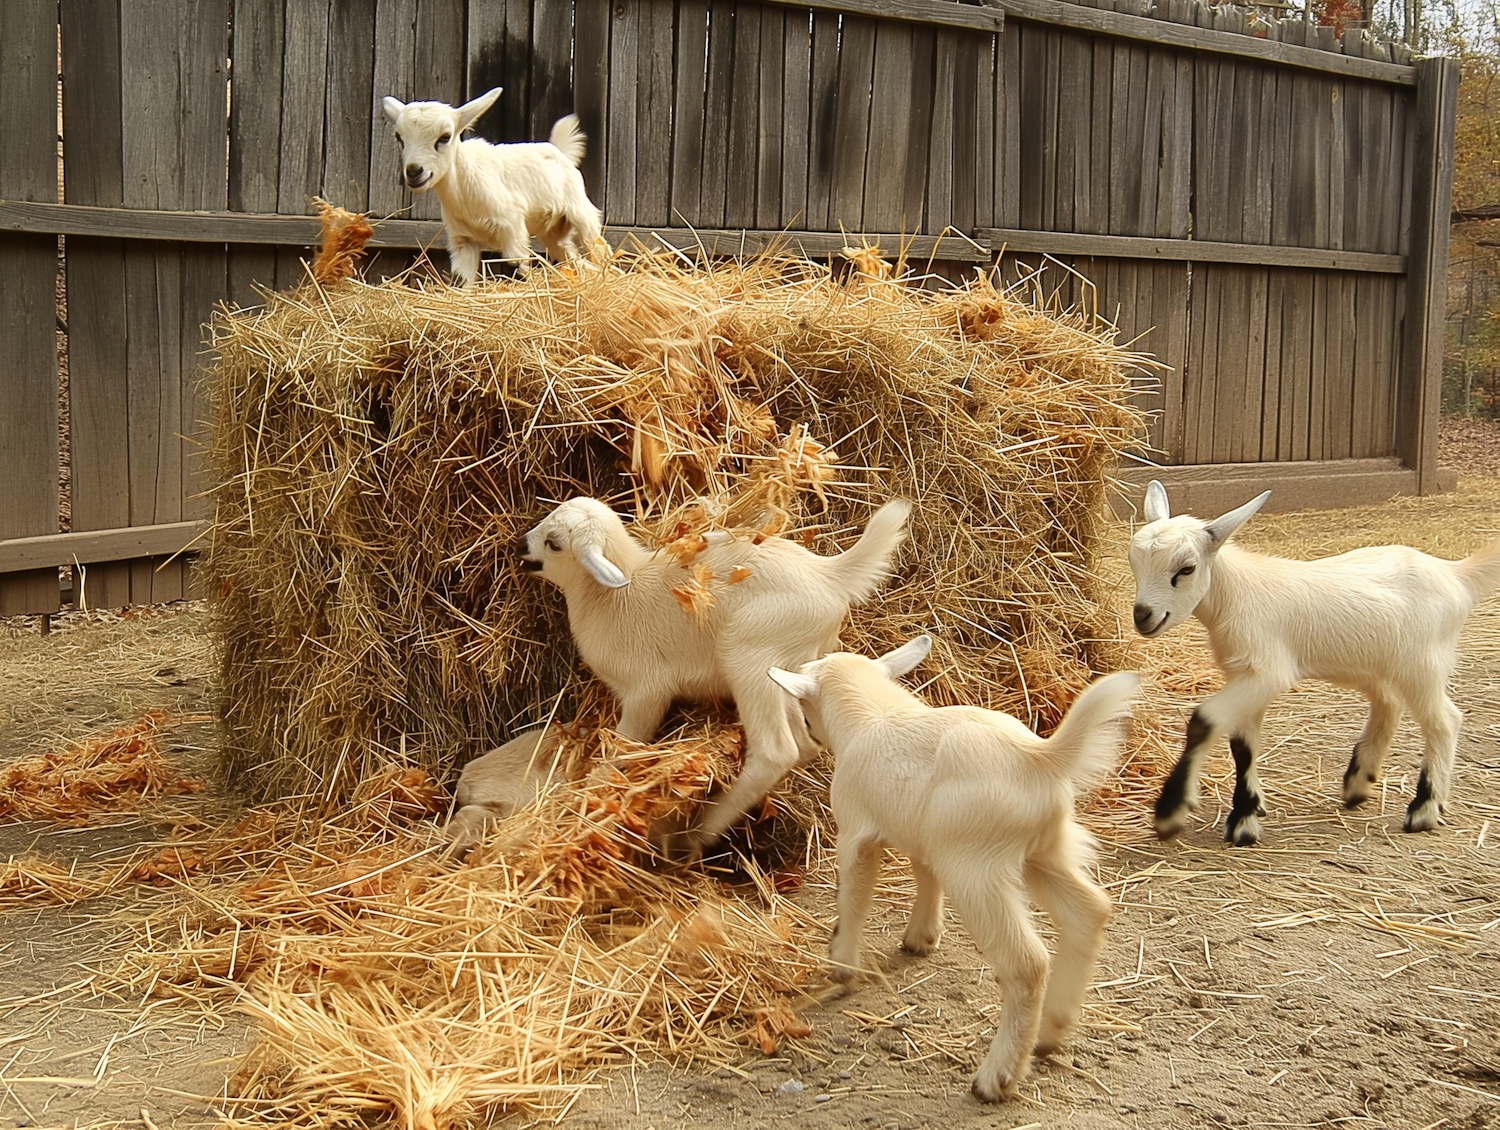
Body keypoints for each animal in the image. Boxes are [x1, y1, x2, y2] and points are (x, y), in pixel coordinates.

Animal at [381, 88, 603, 286]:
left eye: (445, 137)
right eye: (399, 137)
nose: (414, 171)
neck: (464, 193)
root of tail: (560, 151)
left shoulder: (512, 228)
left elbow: (517, 269)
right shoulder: (463, 240)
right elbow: (461, 281)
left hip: (580, 211)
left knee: (598, 248)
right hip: (554, 231)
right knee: (574, 259)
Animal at [516, 492, 912, 846]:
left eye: (554, 544)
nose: (520, 546)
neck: (613, 598)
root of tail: (829, 574)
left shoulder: (647, 690)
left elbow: (622, 748)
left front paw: (586, 796)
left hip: (750, 657)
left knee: (777, 751)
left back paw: (700, 833)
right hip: (791, 667)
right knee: (804, 743)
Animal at [768, 636, 1140, 1104]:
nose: (812, 737)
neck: (874, 713)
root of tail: (1039, 757)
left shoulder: (856, 832)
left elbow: (852, 897)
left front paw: (843, 967)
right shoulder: (922, 835)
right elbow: (924, 873)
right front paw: (920, 938)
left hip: (976, 868)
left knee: (1027, 963)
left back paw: (996, 1078)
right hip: (1044, 852)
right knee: (1089, 912)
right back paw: (1050, 1032)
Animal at [1128, 477, 1500, 846]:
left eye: (1186, 569)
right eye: (1134, 562)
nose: (1142, 616)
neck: (1237, 594)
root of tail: (1454, 574)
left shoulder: (1266, 673)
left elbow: (1204, 721)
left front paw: (1172, 813)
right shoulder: (1243, 675)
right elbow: (1243, 744)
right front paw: (1248, 813)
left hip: (1422, 665)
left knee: (1443, 720)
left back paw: (1424, 809)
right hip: (1376, 663)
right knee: (1389, 703)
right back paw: (1358, 784)